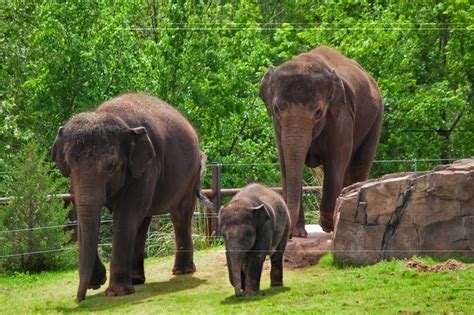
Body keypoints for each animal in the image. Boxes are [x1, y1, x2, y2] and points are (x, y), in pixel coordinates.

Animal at [51, 92, 204, 302]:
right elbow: (79, 214)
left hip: (192, 173)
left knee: (179, 214)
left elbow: (125, 215)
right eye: (68, 163)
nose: (80, 298)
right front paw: (97, 282)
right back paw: (137, 280)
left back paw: (181, 272)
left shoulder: (146, 166)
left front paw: (116, 293)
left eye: (111, 166)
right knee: (143, 220)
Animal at [262, 45, 384, 237]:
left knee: (358, 165)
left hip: (376, 119)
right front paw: (299, 233)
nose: (289, 234)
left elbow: (335, 161)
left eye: (318, 112)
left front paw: (328, 225)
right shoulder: (277, 125)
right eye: (276, 109)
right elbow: (285, 164)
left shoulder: (341, 116)